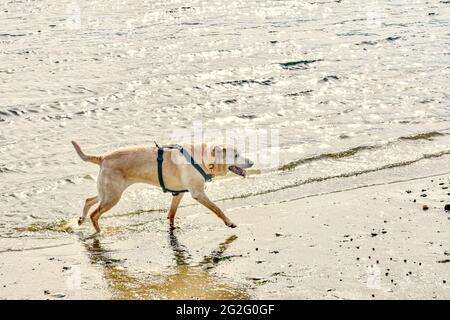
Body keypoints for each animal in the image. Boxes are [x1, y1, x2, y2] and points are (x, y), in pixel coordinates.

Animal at [72, 141, 251, 235]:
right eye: (236, 155)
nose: (252, 162)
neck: (204, 159)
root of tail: (103, 157)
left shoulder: (178, 194)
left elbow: (172, 213)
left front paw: (172, 228)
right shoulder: (198, 194)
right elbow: (217, 209)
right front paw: (229, 222)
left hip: (107, 192)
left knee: (89, 200)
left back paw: (82, 219)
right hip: (112, 196)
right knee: (95, 214)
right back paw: (98, 231)